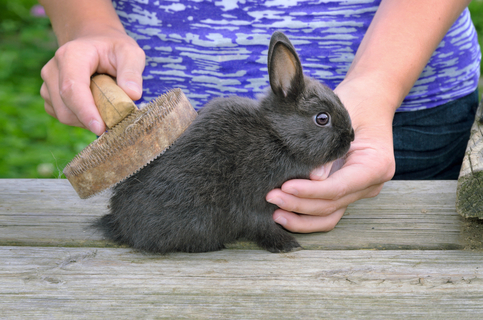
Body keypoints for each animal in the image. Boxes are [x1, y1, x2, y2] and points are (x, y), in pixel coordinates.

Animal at [94, 31, 358, 254]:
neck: (278, 137)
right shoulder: (255, 200)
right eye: (322, 118)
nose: (351, 138)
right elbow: (261, 224)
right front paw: (286, 244)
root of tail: (120, 223)